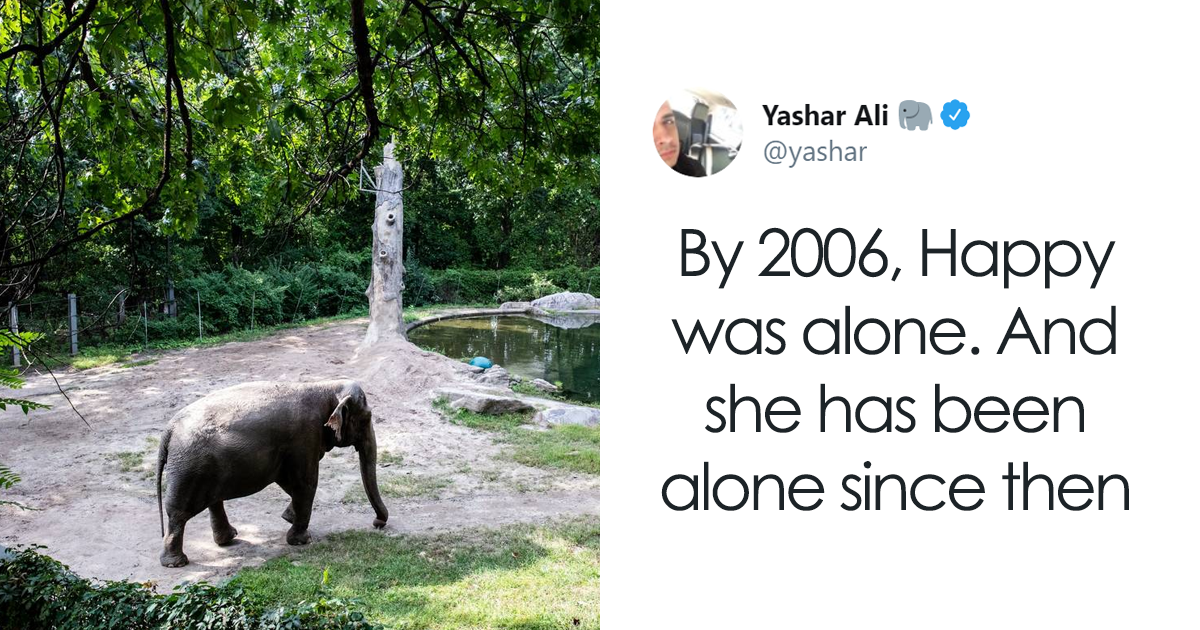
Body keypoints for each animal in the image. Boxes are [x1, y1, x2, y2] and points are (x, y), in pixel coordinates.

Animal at [156, 379, 387, 567]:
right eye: (367, 418)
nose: (377, 524)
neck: (327, 386)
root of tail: (169, 430)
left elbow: (289, 482)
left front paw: (288, 517)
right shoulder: (305, 438)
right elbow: (306, 482)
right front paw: (301, 540)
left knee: (213, 500)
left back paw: (227, 539)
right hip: (190, 468)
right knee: (178, 513)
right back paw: (176, 563)